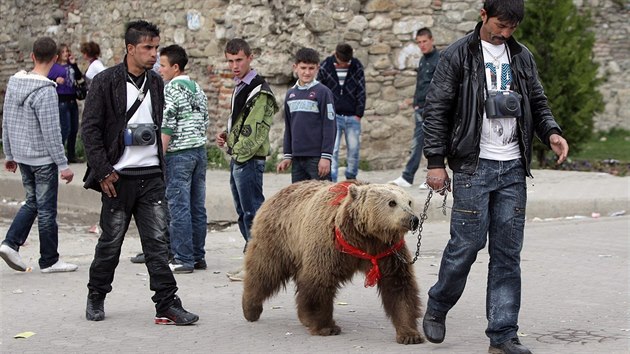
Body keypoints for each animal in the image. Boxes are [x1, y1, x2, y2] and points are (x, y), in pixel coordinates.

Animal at [244, 181, 428, 344]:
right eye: (392, 202)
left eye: (409, 201)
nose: (413, 219)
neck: (364, 238)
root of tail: (277, 194)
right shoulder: (331, 246)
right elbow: (320, 281)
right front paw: (326, 327)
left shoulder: (387, 253)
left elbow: (399, 286)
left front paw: (409, 334)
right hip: (278, 238)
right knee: (265, 270)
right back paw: (250, 308)